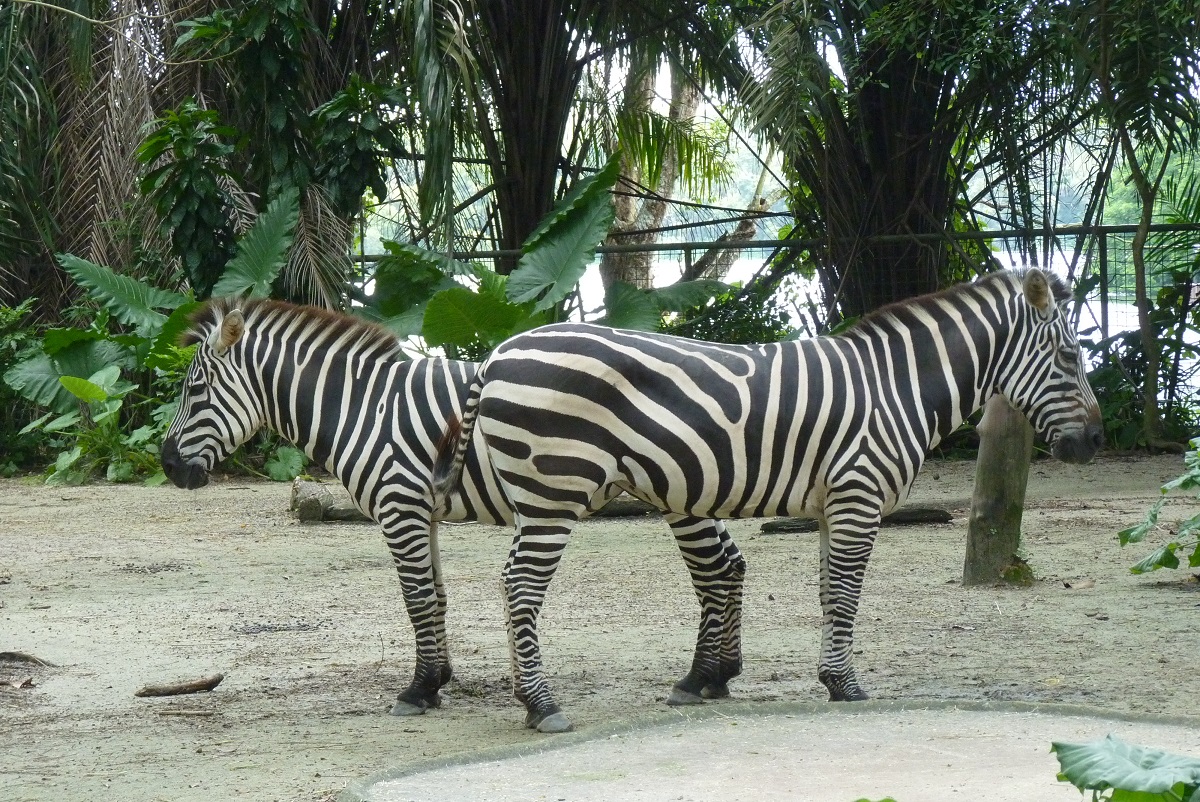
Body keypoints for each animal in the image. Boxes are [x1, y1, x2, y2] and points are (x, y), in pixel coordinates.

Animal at [158, 298, 745, 726]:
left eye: (194, 389)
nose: (167, 466)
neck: (365, 409)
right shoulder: (424, 512)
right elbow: (436, 598)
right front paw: (437, 681)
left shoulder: (400, 507)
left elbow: (417, 600)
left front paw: (417, 691)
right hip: (695, 488)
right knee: (731, 566)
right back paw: (722, 672)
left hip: (682, 489)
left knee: (714, 572)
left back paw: (701, 677)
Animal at [432, 267, 1104, 732]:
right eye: (1071, 356)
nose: (1096, 441)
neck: (896, 387)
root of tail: (499, 351)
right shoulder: (859, 494)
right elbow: (846, 595)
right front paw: (847, 686)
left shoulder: (835, 503)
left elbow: (831, 594)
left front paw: (829, 679)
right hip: (556, 489)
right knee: (521, 584)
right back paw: (541, 704)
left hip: (540, 495)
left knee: (511, 580)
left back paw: (529, 698)